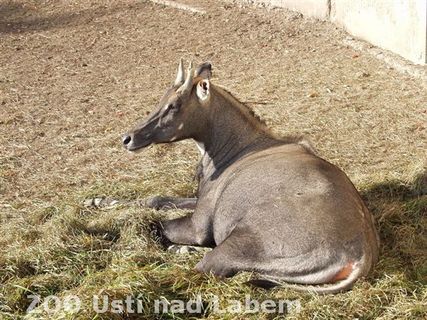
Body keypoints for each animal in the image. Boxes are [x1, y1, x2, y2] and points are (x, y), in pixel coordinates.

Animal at [122, 60, 380, 296]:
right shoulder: (201, 200)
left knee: (205, 266)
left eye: (173, 105)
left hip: (237, 241)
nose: (128, 138)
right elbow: (157, 200)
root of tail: (361, 254)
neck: (236, 148)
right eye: (162, 99)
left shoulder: (198, 225)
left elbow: (154, 225)